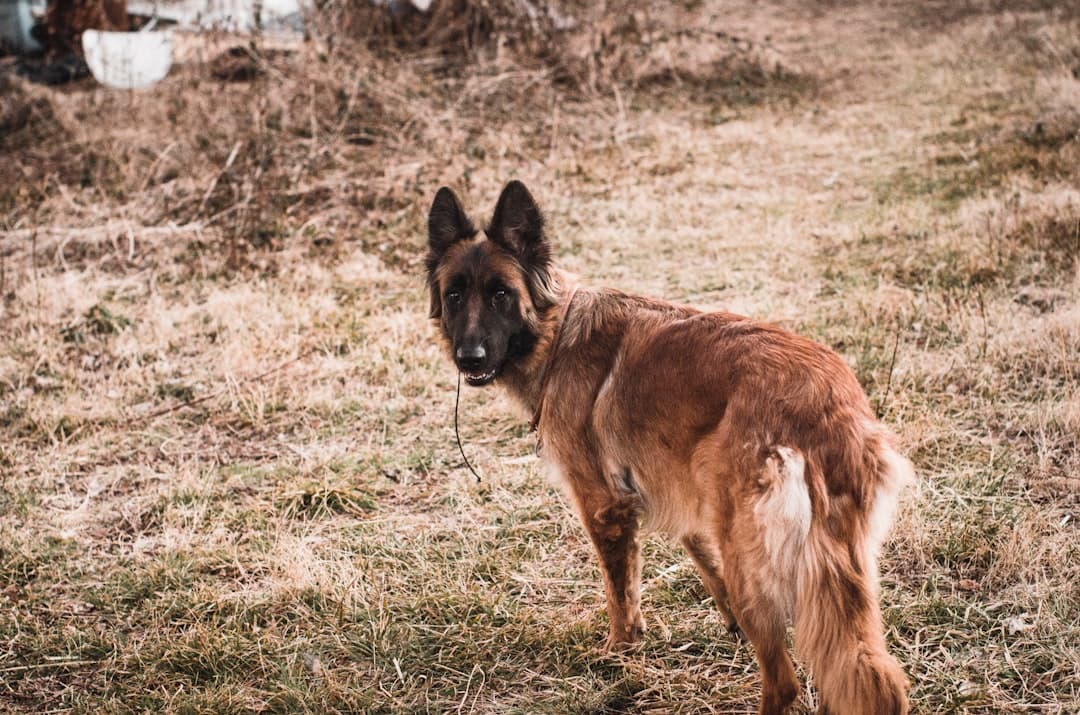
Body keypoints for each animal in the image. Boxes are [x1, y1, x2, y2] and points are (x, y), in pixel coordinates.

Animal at [425, 182, 915, 712]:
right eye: (455, 295)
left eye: (501, 294)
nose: (469, 358)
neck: (556, 335)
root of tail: (829, 404)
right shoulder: (684, 490)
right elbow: (700, 554)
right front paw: (726, 622)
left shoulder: (604, 507)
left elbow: (620, 593)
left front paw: (620, 650)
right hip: (833, 570)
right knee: (865, 673)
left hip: (754, 564)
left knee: (785, 681)